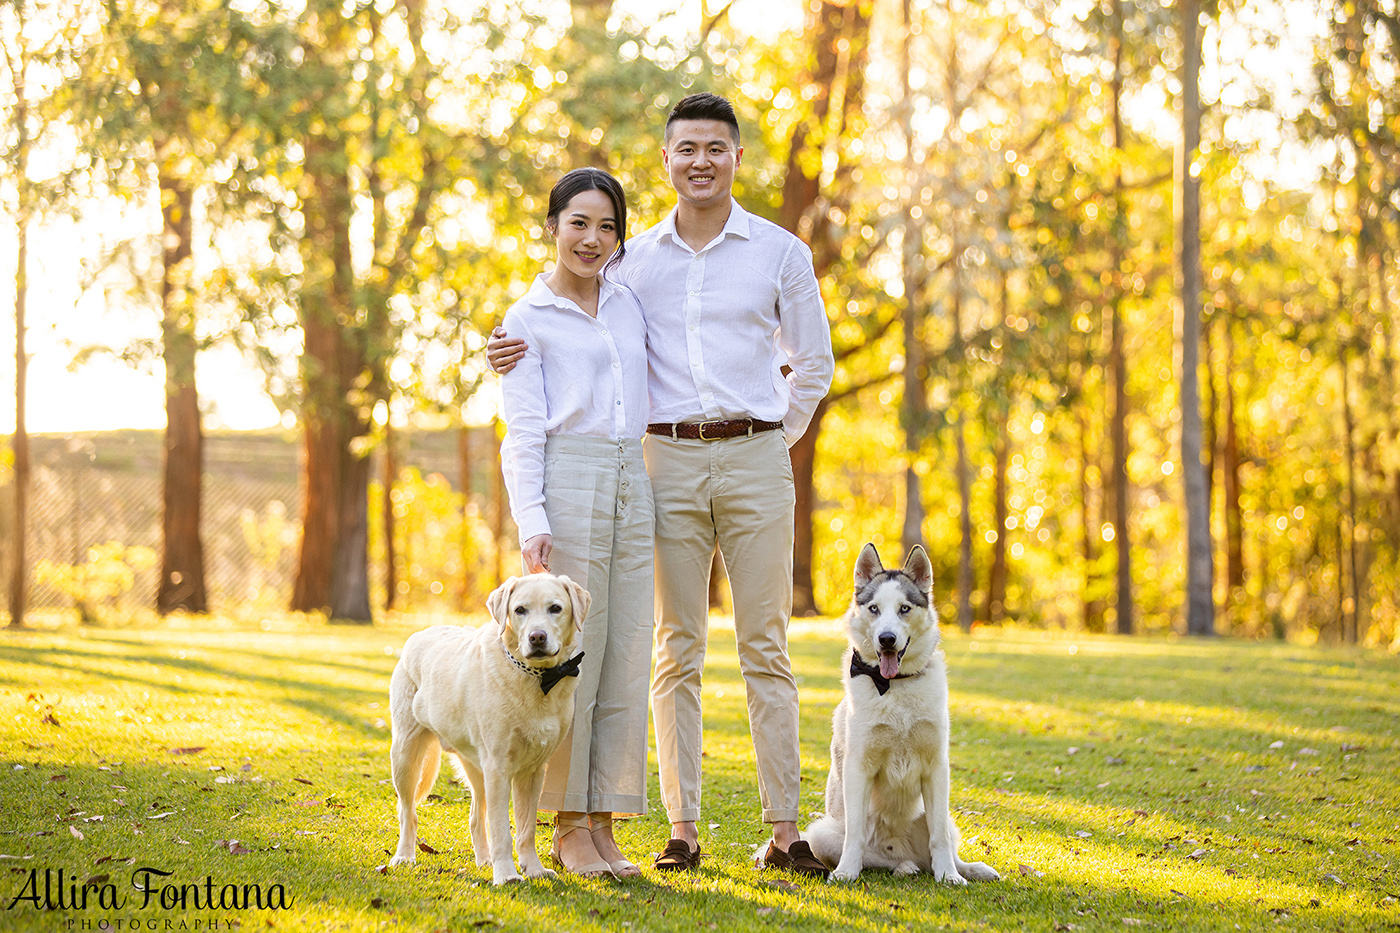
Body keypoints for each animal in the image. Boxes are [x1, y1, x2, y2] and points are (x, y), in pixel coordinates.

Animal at [386, 571, 588, 885]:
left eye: (555, 608)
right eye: (520, 610)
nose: (537, 638)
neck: (536, 679)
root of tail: (420, 634)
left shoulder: (533, 772)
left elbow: (526, 829)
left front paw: (533, 868)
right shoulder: (499, 767)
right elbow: (502, 829)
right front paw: (506, 874)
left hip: (476, 768)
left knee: (475, 816)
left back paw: (484, 860)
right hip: (406, 755)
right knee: (408, 811)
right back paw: (404, 856)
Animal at [806, 537, 1002, 879]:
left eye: (904, 609)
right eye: (874, 609)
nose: (887, 639)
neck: (895, 686)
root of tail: (901, 849)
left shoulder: (937, 768)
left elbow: (939, 838)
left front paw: (949, 876)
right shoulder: (858, 767)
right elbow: (855, 836)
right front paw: (845, 874)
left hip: (944, 817)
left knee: (942, 846)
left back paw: (965, 869)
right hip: (821, 832)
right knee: (875, 857)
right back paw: (901, 868)